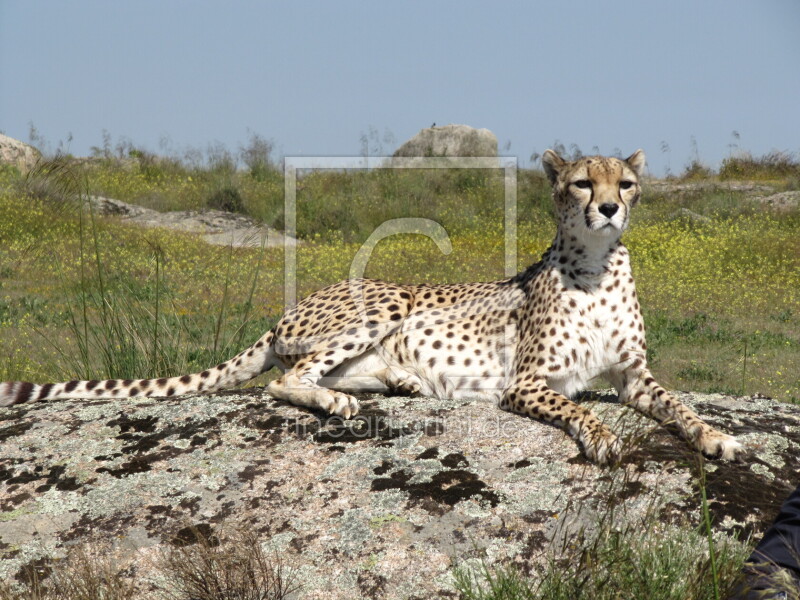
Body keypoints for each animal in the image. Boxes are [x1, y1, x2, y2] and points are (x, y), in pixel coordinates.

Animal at [0, 149, 744, 464]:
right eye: (583, 183)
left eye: (628, 183)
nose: (611, 207)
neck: (595, 265)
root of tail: (290, 307)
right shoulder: (529, 382)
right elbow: (577, 407)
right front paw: (604, 437)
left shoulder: (634, 376)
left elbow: (678, 404)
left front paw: (715, 436)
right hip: (383, 299)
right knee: (285, 380)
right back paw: (337, 401)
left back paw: (396, 382)